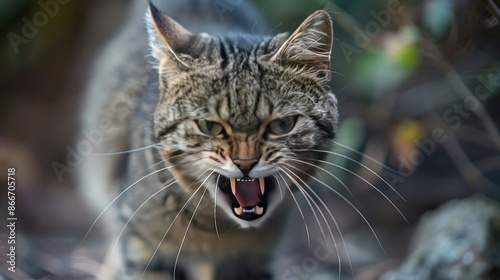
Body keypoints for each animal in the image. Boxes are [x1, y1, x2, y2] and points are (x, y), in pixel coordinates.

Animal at [80, 0, 338, 278]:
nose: (245, 163)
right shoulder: (142, 246)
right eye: (210, 126)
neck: (217, 232)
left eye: (282, 125)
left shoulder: (254, 261)